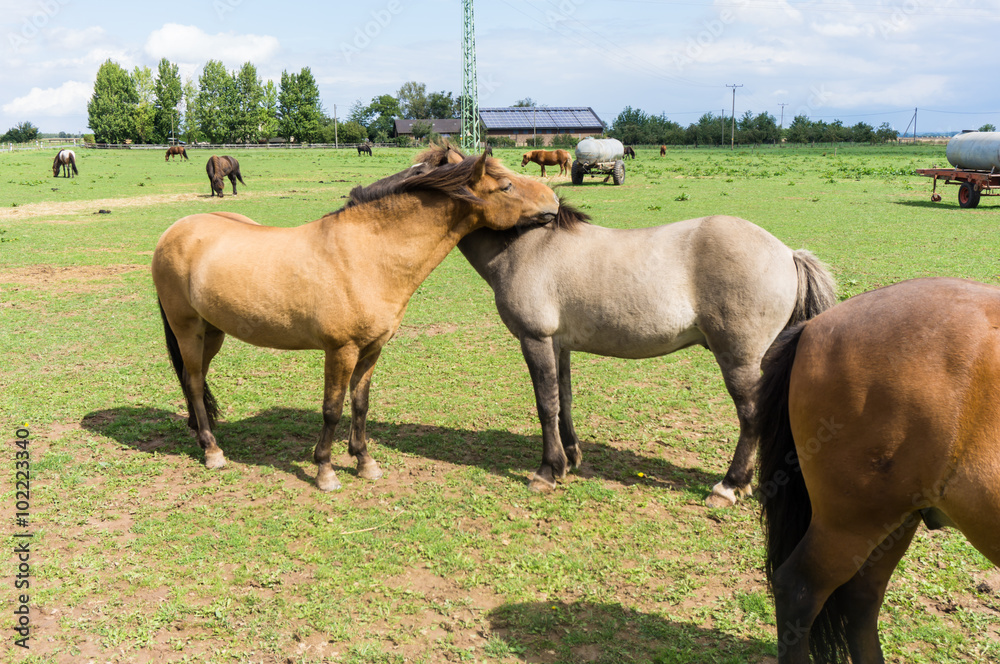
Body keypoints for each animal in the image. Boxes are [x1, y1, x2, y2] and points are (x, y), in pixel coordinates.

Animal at [152, 146, 560, 491]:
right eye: (506, 185)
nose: (554, 200)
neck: (366, 254)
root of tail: (173, 232)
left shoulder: (372, 348)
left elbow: (360, 403)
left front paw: (365, 462)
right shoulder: (341, 350)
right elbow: (332, 409)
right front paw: (325, 470)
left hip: (212, 333)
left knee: (193, 381)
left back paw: (201, 434)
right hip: (187, 329)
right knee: (193, 382)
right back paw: (212, 450)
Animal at [452, 188, 836, 503]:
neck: (529, 247)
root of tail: (787, 253)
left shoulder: (536, 340)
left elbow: (546, 404)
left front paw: (548, 471)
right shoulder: (559, 345)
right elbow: (564, 399)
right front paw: (570, 457)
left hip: (740, 361)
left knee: (752, 416)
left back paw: (729, 486)